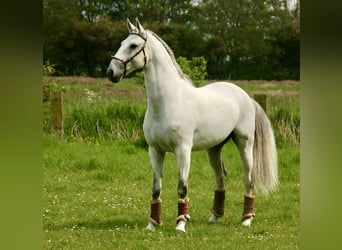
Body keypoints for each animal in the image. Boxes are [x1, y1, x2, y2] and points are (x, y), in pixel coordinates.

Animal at [107, 19, 278, 232]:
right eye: (122, 42)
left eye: (133, 45)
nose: (111, 72)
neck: (168, 102)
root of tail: (246, 97)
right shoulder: (155, 150)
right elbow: (156, 188)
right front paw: (152, 224)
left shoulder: (183, 150)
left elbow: (182, 186)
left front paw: (181, 223)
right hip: (214, 148)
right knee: (221, 177)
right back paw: (214, 216)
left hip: (245, 144)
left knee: (249, 178)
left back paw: (246, 220)